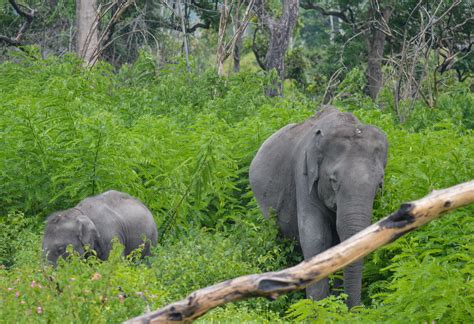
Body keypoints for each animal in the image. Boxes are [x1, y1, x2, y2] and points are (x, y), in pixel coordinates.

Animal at [250, 106, 386, 306]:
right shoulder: (303, 175)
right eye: (333, 180)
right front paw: (319, 307)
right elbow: (316, 237)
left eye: (379, 183)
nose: (356, 309)